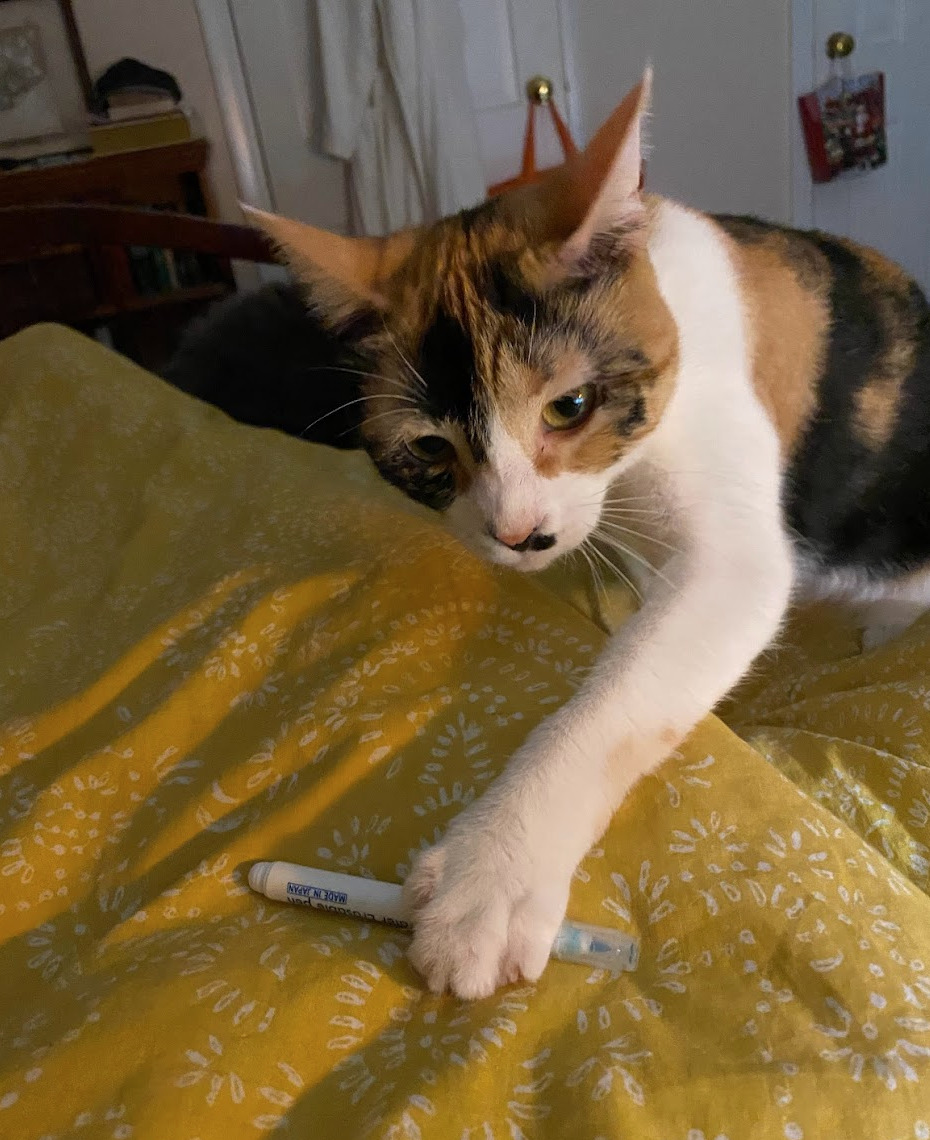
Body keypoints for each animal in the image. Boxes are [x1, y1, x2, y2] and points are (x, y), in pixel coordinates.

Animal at [244, 69, 930, 999]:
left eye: (569, 406)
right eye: (430, 449)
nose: (517, 532)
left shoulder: (733, 549)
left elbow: (623, 693)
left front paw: (490, 876)